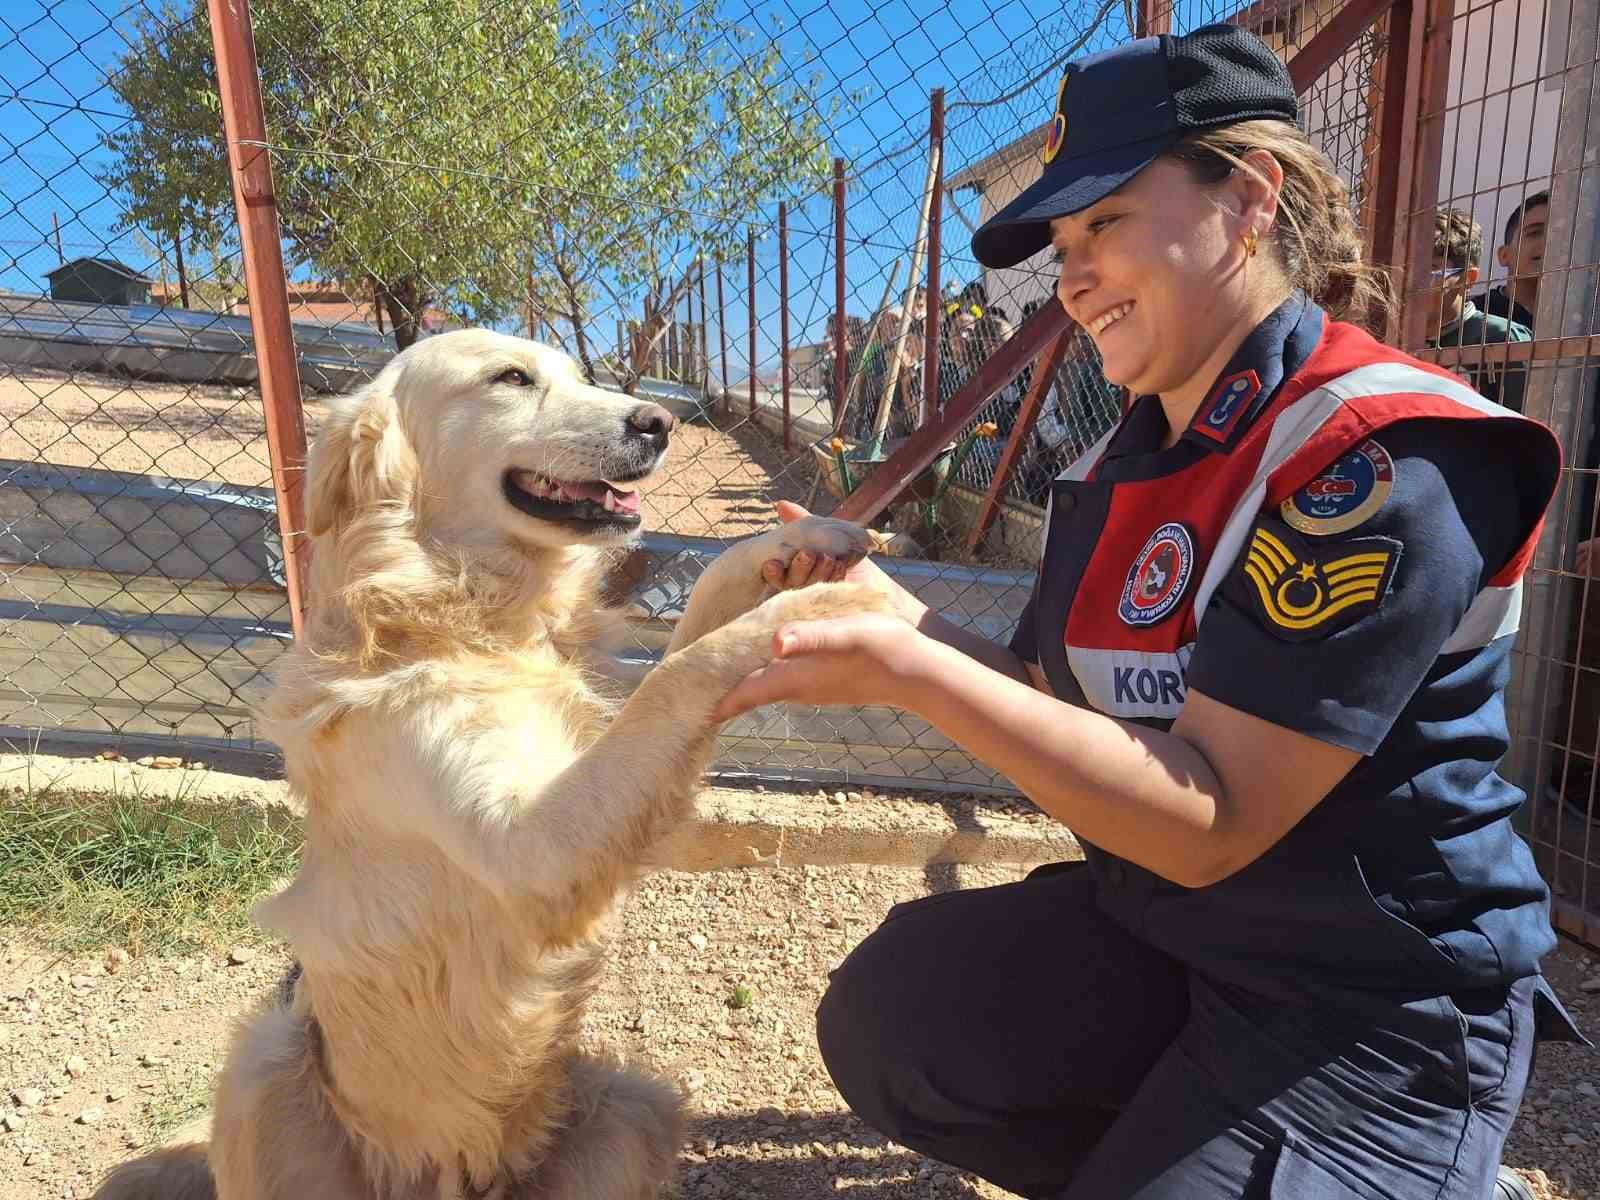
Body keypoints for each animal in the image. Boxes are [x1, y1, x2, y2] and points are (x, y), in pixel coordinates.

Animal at [93, 331, 889, 1200]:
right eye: (510, 378)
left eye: (579, 374)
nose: (659, 423)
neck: (477, 616)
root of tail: (460, 1182)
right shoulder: (529, 848)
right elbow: (682, 672)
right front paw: (810, 610)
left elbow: (698, 619)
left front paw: (800, 546)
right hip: (267, 1059)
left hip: (632, 1104)